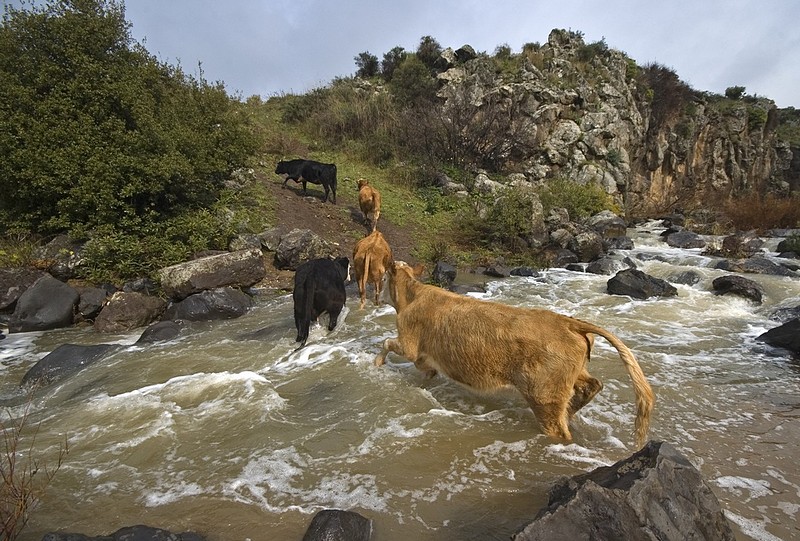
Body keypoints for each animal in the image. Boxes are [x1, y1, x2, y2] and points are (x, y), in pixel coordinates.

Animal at [376, 262, 656, 448]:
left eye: (383, 277)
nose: (376, 294)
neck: (412, 296)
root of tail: (569, 322)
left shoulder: (409, 342)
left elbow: (388, 343)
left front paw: (378, 363)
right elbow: (426, 368)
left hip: (544, 394)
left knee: (559, 428)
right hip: (570, 375)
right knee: (592, 384)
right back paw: (572, 410)